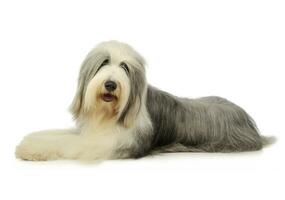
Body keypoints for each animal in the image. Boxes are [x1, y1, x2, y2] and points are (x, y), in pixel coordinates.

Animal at [15, 40, 272, 161]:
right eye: (104, 62)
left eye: (125, 68)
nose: (111, 84)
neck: (109, 115)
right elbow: (59, 134)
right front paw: (31, 140)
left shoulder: (118, 143)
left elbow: (71, 143)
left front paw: (29, 149)